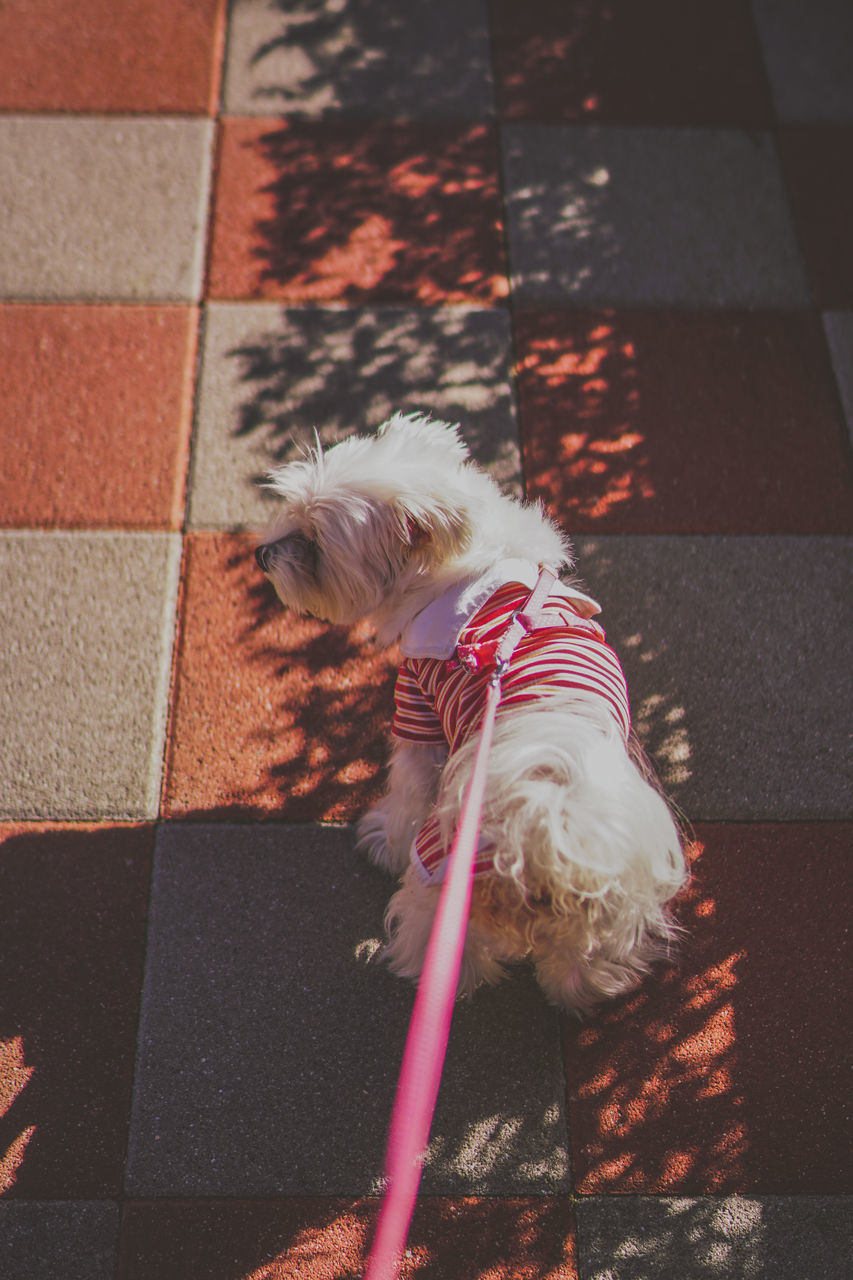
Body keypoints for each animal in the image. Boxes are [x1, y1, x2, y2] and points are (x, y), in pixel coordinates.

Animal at [253, 414, 686, 1013]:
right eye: (290, 516)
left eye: (313, 543)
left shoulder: (417, 712)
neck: (476, 566)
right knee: (580, 962)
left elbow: (408, 792)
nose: (262, 555)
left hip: (440, 869)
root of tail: (543, 839)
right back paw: (588, 991)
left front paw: (382, 838)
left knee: (436, 935)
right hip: (612, 904)